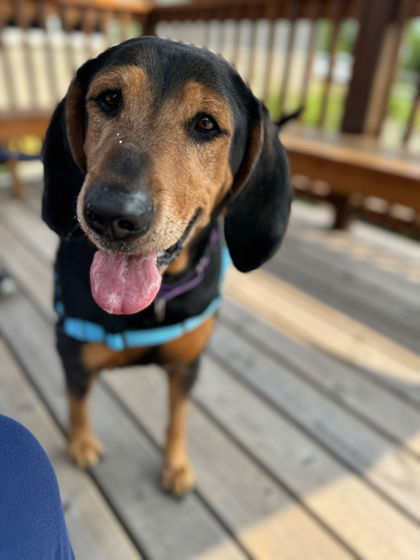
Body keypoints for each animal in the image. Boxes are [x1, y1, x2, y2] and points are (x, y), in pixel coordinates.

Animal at [42, 37, 292, 496]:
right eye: (108, 99)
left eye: (207, 124)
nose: (112, 215)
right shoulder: (72, 351)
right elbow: (77, 401)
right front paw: (81, 443)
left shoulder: (187, 366)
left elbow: (179, 417)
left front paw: (176, 464)